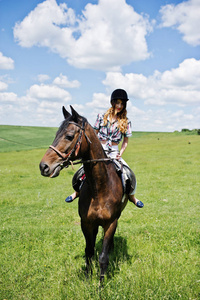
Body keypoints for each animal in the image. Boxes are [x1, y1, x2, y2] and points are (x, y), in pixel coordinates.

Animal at [39, 106, 129, 282]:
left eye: (69, 136)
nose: (43, 166)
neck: (99, 188)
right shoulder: (86, 223)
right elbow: (89, 251)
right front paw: (88, 278)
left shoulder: (111, 223)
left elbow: (103, 257)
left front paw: (101, 284)